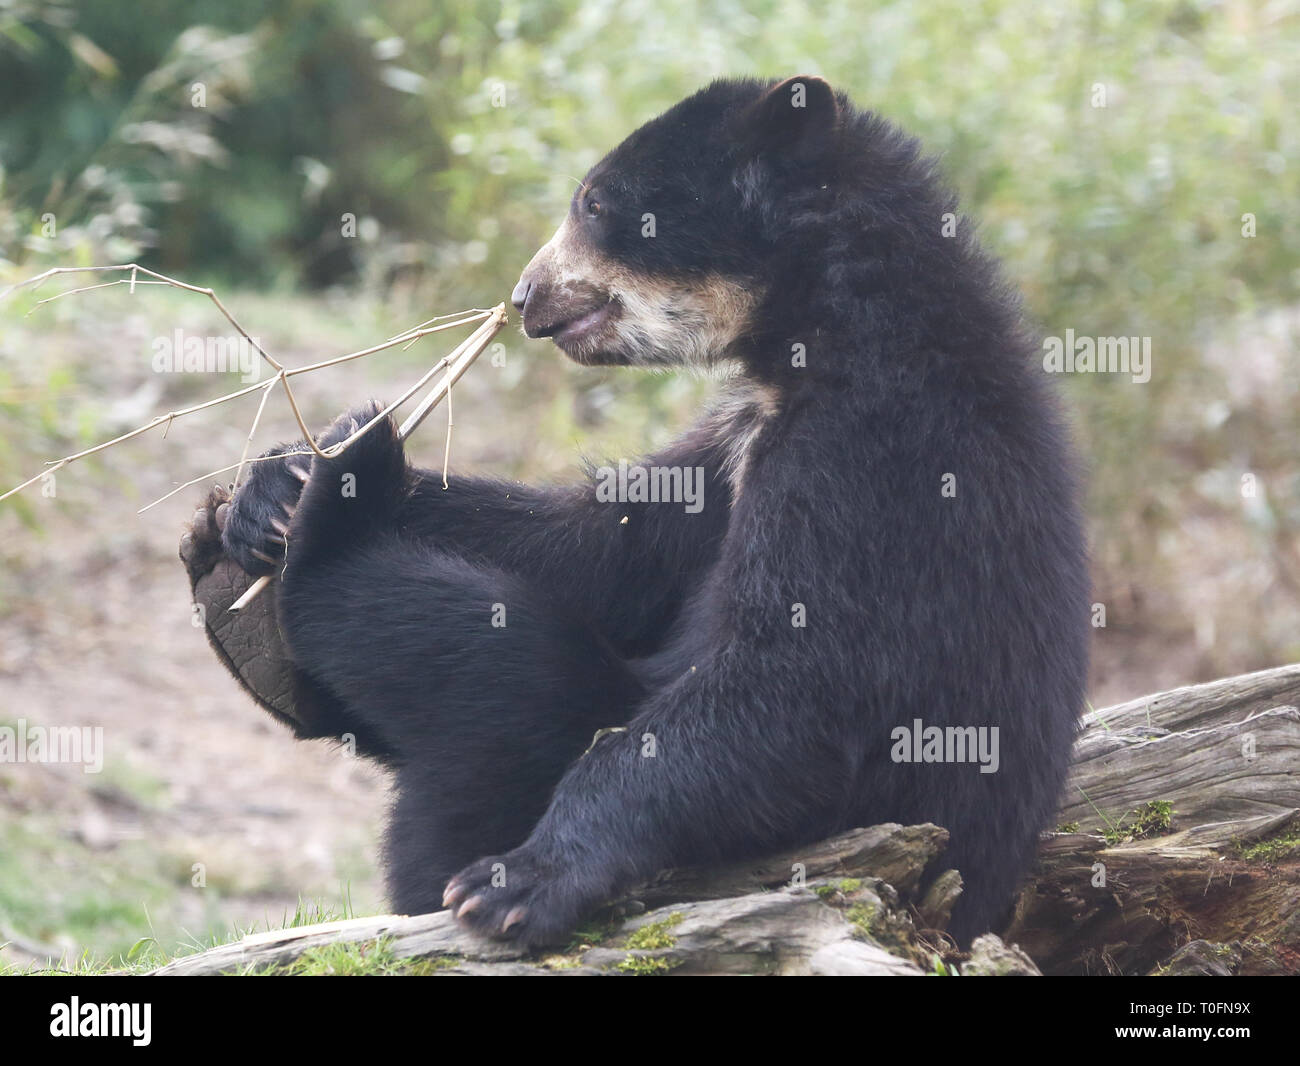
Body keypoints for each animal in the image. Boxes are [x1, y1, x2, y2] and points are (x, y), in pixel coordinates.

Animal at [180, 75, 1086, 946]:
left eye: (594, 204)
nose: (525, 297)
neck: (817, 327)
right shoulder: (732, 446)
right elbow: (605, 543)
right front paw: (270, 488)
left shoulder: (878, 459)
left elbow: (797, 680)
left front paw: (519, 884)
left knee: (497, 668)